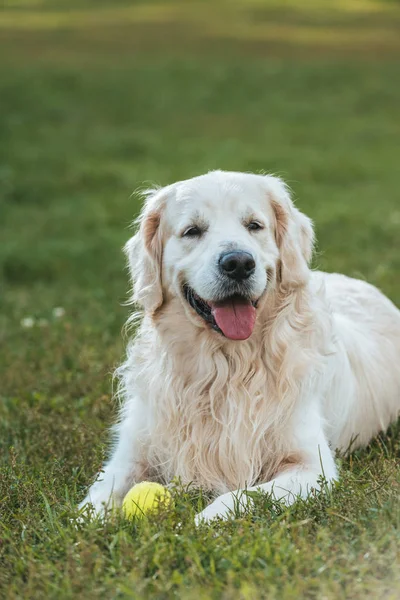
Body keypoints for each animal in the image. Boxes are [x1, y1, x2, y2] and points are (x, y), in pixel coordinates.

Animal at [80, 171, 400, 524]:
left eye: (254, 225)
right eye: (192, 231)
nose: (238, 263)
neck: (225, 367)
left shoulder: (311, 466)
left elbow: (242, 496)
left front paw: (199, 521)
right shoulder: (130, 454)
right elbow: (94, 501)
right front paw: (88, 521)